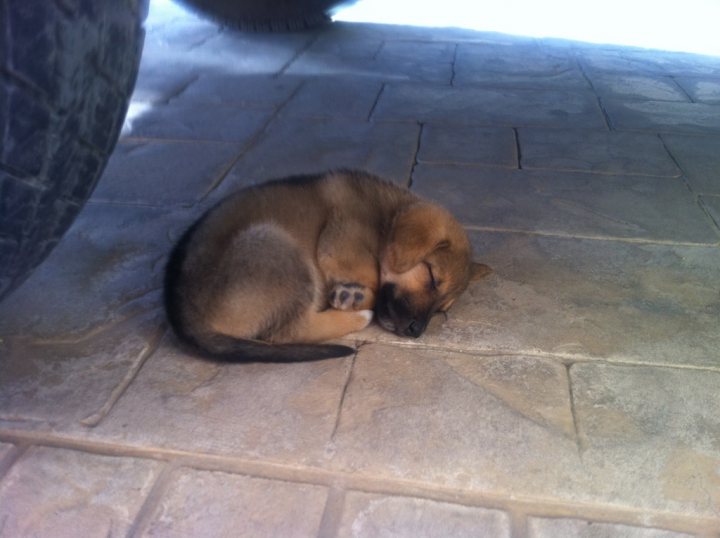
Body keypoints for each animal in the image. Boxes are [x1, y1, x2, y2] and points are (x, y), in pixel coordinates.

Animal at [165, 170, 490, 362]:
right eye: (433, 277)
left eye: (442, 311)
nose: (416, 332)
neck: (384, 220)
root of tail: (182, 315)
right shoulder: (339, 241)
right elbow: (370, 272)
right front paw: (355, 293)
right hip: (275, 245)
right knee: (288, 331)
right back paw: (359, 314)